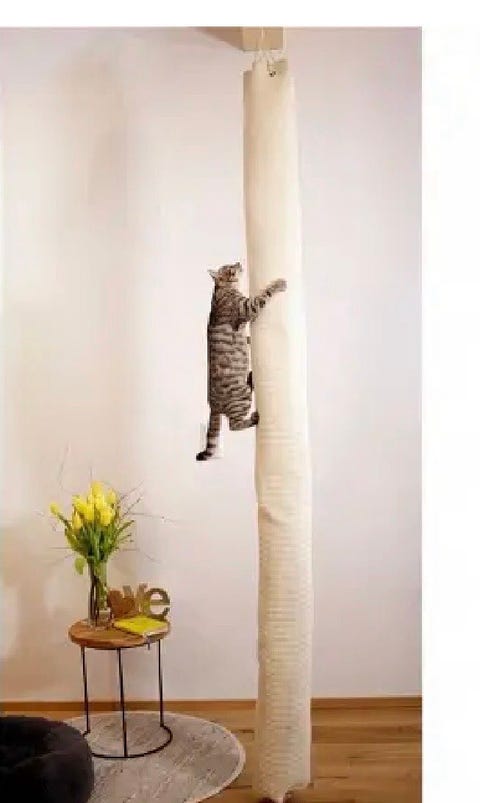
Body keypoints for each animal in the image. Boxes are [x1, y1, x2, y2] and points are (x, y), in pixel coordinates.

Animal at [196, 262, 287, 461]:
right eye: (230, 267)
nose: (238, 263)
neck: (223, 290)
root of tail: (213, 405)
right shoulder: (247, 308)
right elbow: (263, 295)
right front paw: (278, 284)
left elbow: (246, 337)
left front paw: (248, 340)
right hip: (241, 399)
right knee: (234, 425)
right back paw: (253, 417)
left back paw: (252, 377)